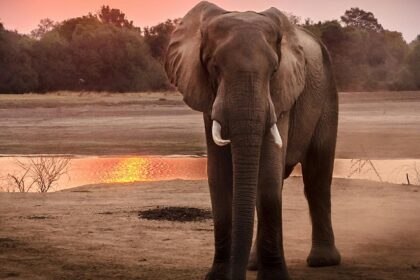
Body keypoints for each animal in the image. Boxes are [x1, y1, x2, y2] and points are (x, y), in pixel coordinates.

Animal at [164, 1, 342, 278]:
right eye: (214, 67)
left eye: (274, 70)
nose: (234, 275)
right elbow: (219, 176)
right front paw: (218, 276)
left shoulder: (281, 94)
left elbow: (267, 175)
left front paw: (274, 277)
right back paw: (253, 265)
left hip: (327, 95)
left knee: (317, 177)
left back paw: (323, 261)